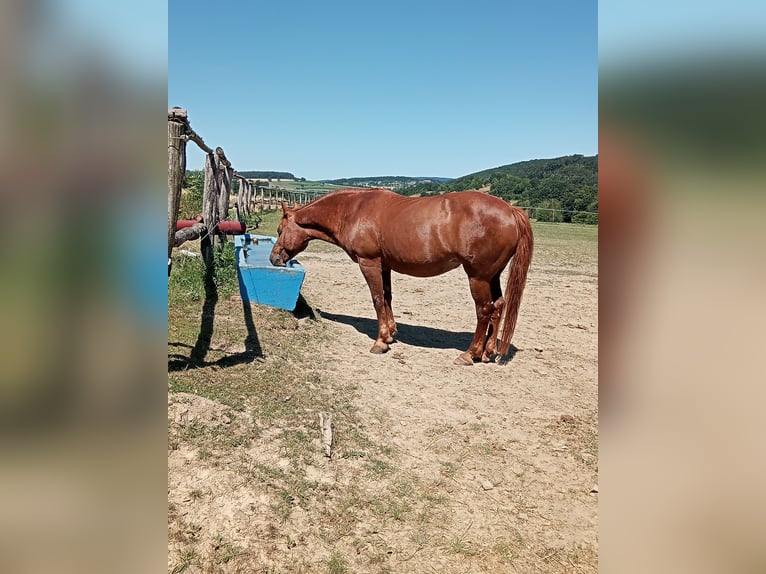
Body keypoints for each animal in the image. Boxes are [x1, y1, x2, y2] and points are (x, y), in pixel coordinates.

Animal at [269, 188, 533, 365]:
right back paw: (488, 352)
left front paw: (380, 342)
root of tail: (510, 210)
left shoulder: (369, 263)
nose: (274, 259)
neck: (353, 210)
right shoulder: (384, 266)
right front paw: (390, 334)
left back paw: (470, 354)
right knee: (498, 306)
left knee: (484, 310)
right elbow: (387, 297)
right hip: (493, 275)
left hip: (478, 277)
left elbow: (377, 299)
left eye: (280, 230)